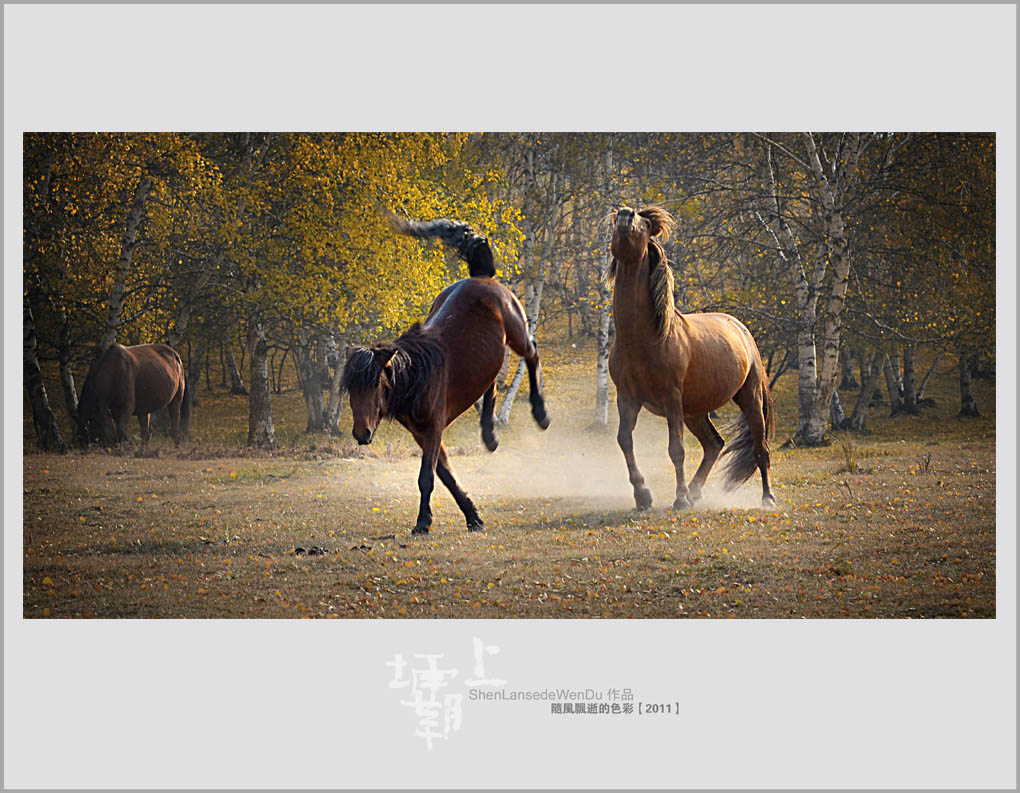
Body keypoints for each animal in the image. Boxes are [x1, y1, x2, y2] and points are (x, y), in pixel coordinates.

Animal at [607, 204, 775, 510]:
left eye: (645, 224)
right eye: (617, 220)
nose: (625, 214)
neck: (644, 339)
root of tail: (742, 330)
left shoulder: (671, 396)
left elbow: (676, 449)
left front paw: (679, 499)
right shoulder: (627, 398)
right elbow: (625, 441)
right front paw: (642, 495)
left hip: (749, 397)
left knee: (760, 447)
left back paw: (767, 498)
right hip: (694, 411)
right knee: (714, 444)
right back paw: (696, 491)